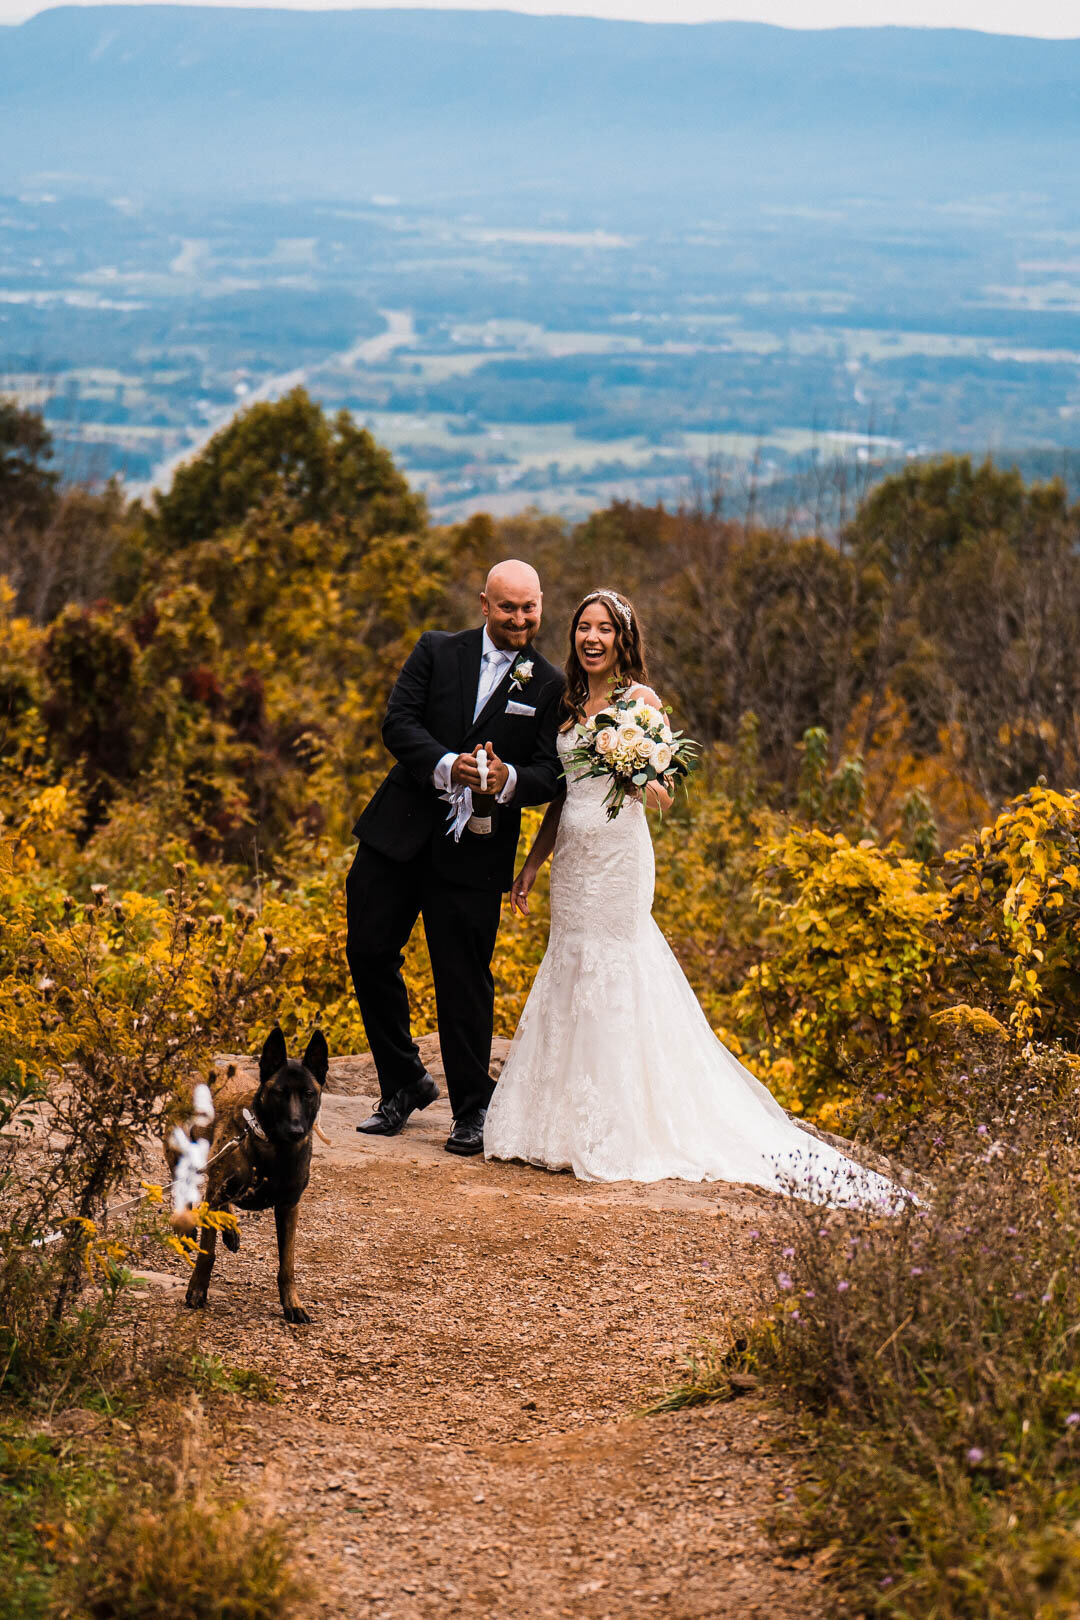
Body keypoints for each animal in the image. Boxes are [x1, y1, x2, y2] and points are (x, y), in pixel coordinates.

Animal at [167, 1030, 330, 1321]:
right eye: (279, 1093)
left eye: (309, 1094)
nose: (296, 1130)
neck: (274, 1149)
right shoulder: (217, 1191)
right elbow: (207, 1253)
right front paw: (197, 1290)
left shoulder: (288, 1207)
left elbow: (287, 1264)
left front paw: (292, 1303)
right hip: (182, 1160)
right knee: (186, 1195)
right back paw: (188, 1231)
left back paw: (230, 1228)